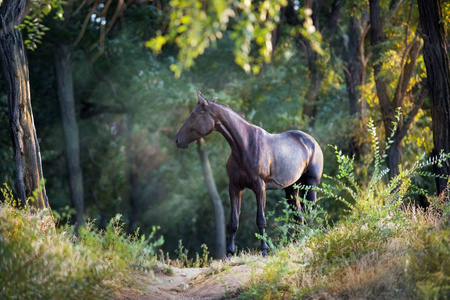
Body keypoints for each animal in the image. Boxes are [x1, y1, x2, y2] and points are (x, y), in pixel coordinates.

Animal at [176, 90, 324, 256]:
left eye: (194, 115)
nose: (177, 140)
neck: (245, 147)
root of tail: (312, 142)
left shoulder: (260, 187)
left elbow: (261, 219)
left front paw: (264, 251)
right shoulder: (234, 187)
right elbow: (234, 221)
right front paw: (229, 254)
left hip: (311, 185)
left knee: (309, 212)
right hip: (292, 188)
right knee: (299, 216)